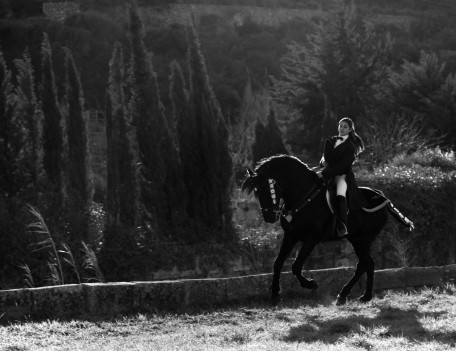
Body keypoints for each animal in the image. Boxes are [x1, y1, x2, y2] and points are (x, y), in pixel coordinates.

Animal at [242, 155, 414, 306]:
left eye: (265, 190)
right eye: (256, 191)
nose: (269, 217)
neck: (304, 196)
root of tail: (382, 197)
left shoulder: (312, 238)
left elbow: (296, 266)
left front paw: (311, 284)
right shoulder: (290, 235)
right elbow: (278, 263)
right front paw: (275, 295)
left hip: (365, 238)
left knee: (364, 264)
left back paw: (346, 295)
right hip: (356, 239)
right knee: (368, 264)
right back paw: (363, 296)